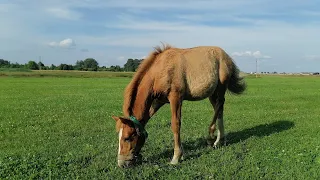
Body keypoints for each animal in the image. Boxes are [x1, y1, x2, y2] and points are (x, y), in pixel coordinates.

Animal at [111, 43, 246, 167]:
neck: (160, 71)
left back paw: (212, 136)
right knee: (219, 109)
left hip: (221, 87)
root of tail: (226, 55)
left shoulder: (175, 98)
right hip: (212, 93)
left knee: (219, 104)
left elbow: (175, 124)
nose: (121, 163)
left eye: (127, 137)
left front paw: (176, 157)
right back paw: (220, 139)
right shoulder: (158, 101)